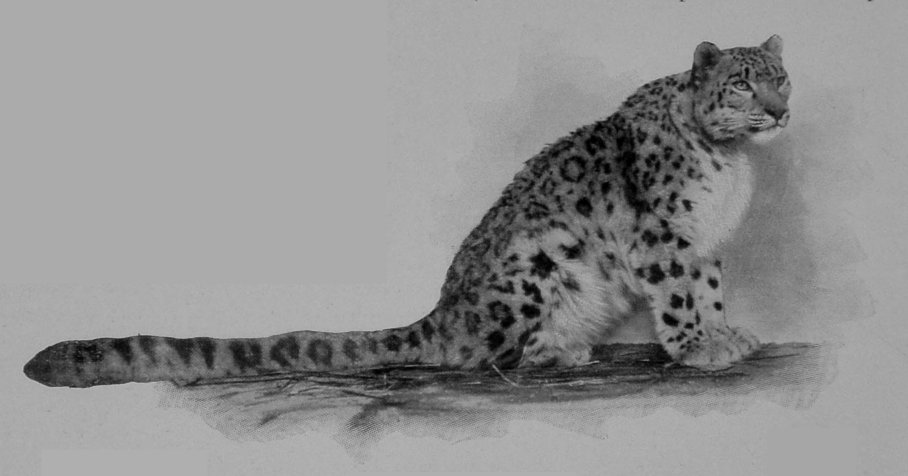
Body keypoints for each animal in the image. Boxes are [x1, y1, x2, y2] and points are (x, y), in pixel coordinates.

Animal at [24, 36, 791, 387]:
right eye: (741, 84)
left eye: (781, 78)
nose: (781, 111)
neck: (731, 163)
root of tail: (443, 312)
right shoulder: (664, 237)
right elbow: (681, 296)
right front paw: (699, 347)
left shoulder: (705, 242)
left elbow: (709, 289)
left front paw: (728, 334)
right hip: (538, 266)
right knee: (488, 356)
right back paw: (559, 348)